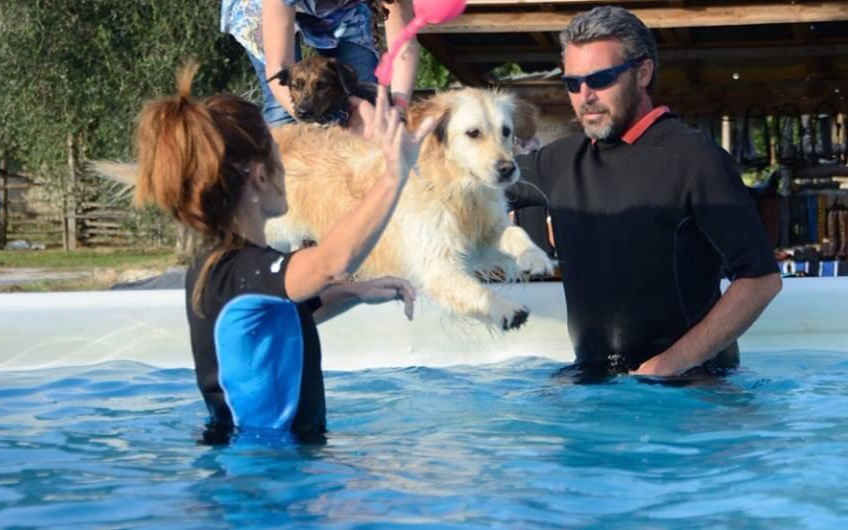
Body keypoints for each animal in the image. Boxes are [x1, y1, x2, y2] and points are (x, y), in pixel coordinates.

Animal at [268, 88, 552, 328]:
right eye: (473, 133)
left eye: (506, 131)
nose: (508, 169)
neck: (454, 188)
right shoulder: (436, 263)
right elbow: (475, 291)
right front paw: (505, 308)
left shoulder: (480, 233)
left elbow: (514, 232)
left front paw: (534, 256)